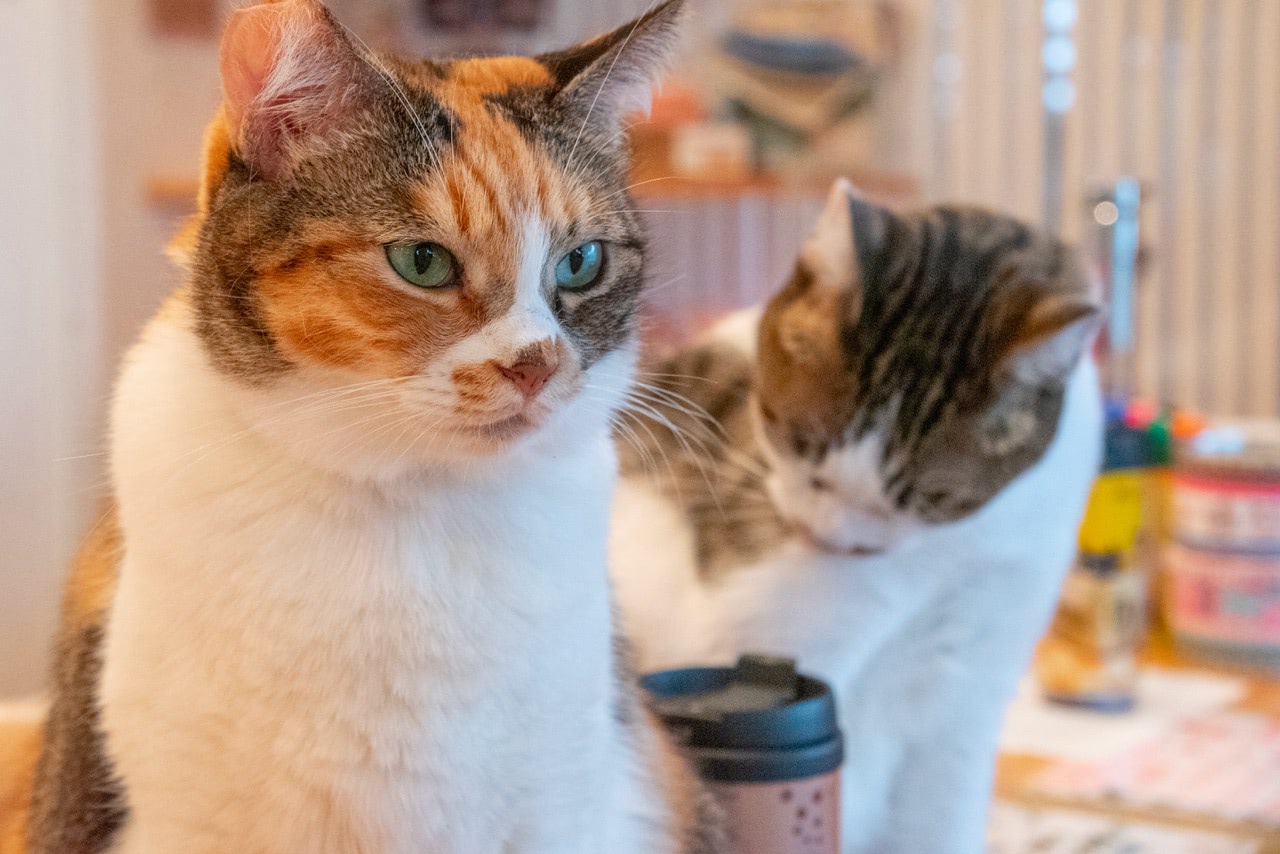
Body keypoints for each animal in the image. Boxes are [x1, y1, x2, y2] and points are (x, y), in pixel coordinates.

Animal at [609, 180, 1100, 854]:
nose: (829, 535)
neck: (942, 556)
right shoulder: (770, 634)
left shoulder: (969, 685)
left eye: (921, 499)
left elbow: (942, 815)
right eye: (795, 440)